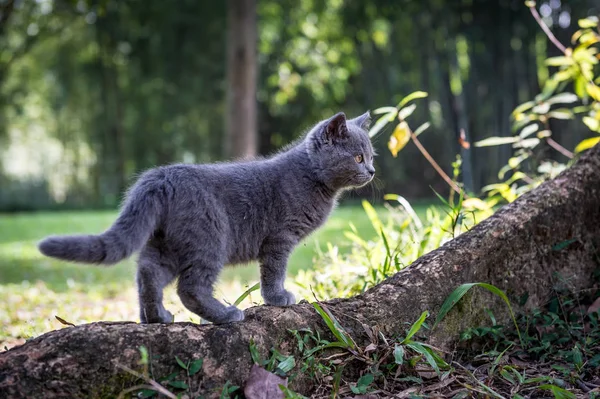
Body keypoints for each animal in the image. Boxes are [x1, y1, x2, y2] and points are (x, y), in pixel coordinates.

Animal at [37, 112, 376, 324]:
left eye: (372, 156)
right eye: (358, 157)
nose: (372, 171)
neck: (311, 178)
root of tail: (162, 177)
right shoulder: (280, 238)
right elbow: (274, 271)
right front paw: (278, 297)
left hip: (164, 242)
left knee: (148, 274)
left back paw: (157, 317)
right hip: (210, 238)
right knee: (190, 288)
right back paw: (226, 315)